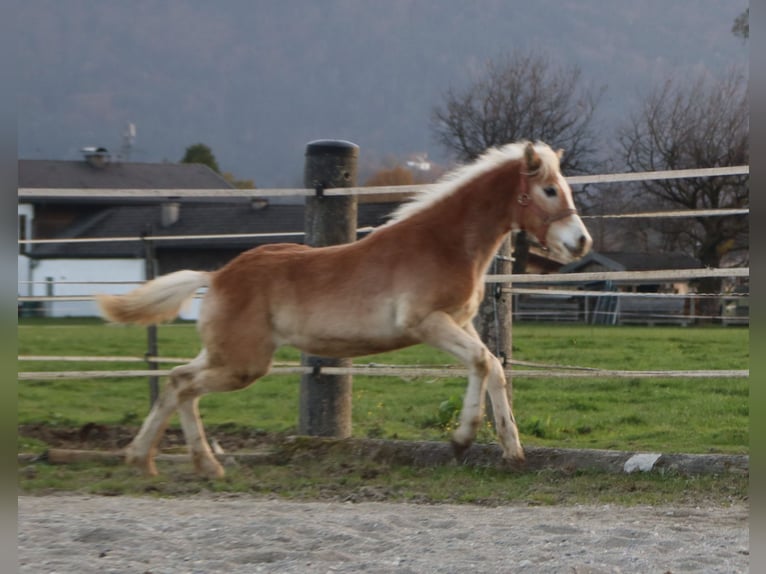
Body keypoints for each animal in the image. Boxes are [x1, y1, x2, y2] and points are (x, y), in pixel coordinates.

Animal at [97, 142, 592, 480]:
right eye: (549, 189)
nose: (580, 242)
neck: (443, 243)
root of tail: (215, 276)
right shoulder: (426, 323)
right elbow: (482, 362)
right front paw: (461, 439)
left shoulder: (460, 322)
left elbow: (493, 367)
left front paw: (513, 451)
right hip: (242, 363)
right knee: (184, 386)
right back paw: (200, 464)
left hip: (225, 355)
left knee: (176, 379)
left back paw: (147, 459)